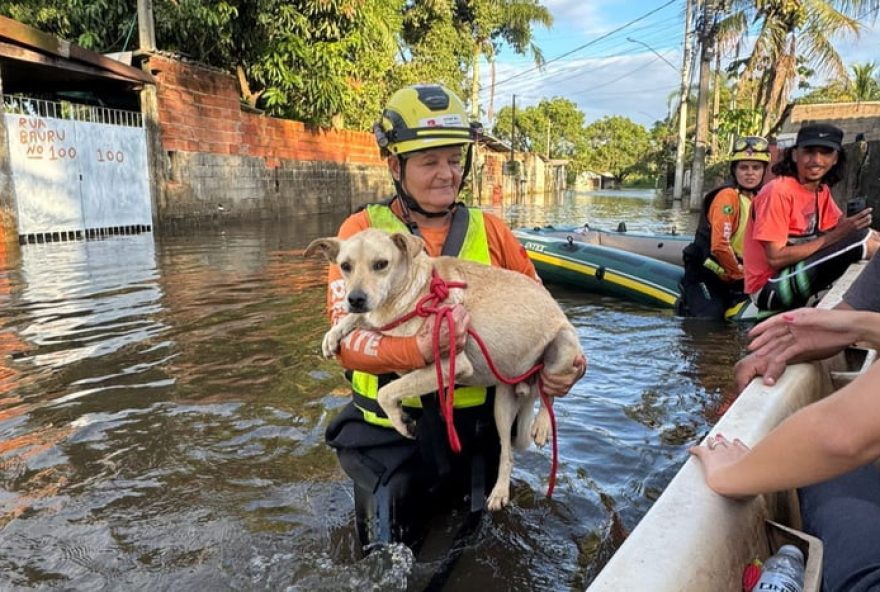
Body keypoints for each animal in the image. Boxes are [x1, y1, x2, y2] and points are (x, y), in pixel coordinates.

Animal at [306, 227, 588, 508]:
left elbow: (386, 392)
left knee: (548, 390)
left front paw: (401, 422)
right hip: (502, 406)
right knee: (508, 453)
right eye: (345, 266)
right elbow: (362, 323)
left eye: (381, 264)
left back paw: (542, 425)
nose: (355, 298)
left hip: (562, 347)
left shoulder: (451, 364)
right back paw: (499, 491)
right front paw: (335, 333)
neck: (414, 293)